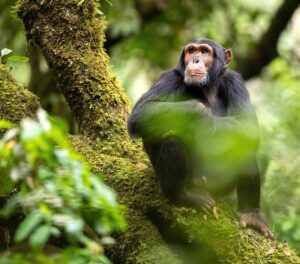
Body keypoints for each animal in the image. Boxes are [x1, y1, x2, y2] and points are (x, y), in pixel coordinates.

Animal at [127, 38, 274, 238]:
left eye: (205, 51)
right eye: (191, 51)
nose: (195, 59)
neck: (206, 87)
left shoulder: (235, 81)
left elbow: (247, 126)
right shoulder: (168, 78)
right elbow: (141, 112)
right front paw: (200, 112)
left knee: (244, 147)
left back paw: (250, 214)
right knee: (171, 139)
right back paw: (182, 195)